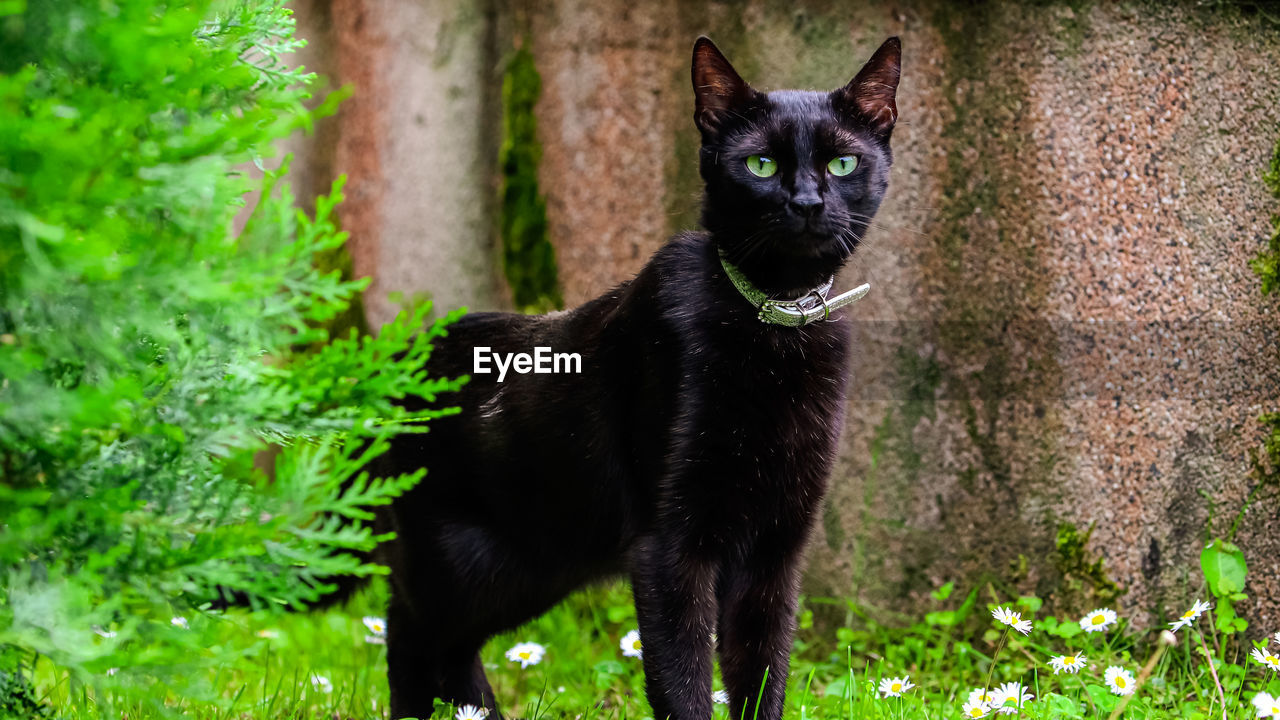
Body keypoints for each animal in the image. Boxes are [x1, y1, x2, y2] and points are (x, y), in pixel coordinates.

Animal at [373, 37, 906, 717]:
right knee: (409, 632)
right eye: (759, 165)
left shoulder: (775, 551)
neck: (775, 319)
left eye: (842, 163)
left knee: (452, 648)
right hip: (461, 562)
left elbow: (763, 675)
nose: (807, 203)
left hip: (532, 564)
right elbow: (683, 681)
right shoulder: (669, 548)